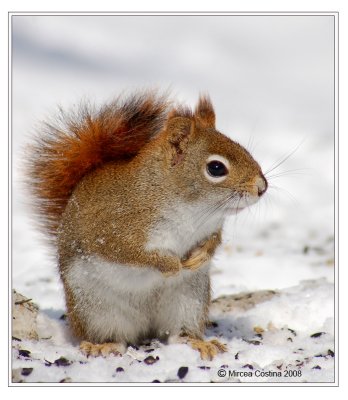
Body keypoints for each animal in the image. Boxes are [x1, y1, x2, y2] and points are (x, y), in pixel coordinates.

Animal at [27, 92, 268, 360]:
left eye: (243, 149)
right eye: (216, 168)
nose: (261, 187)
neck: (191, 209)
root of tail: (146, 326)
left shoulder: (211, 227)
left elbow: (214, 240)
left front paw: (200, 256)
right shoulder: (113, 230)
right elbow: (130, 253)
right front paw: (171, 264)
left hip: (188, 301)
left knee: (177, 333)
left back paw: (196, 343)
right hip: (97, 309)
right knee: (114, 335)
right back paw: (104, 345)